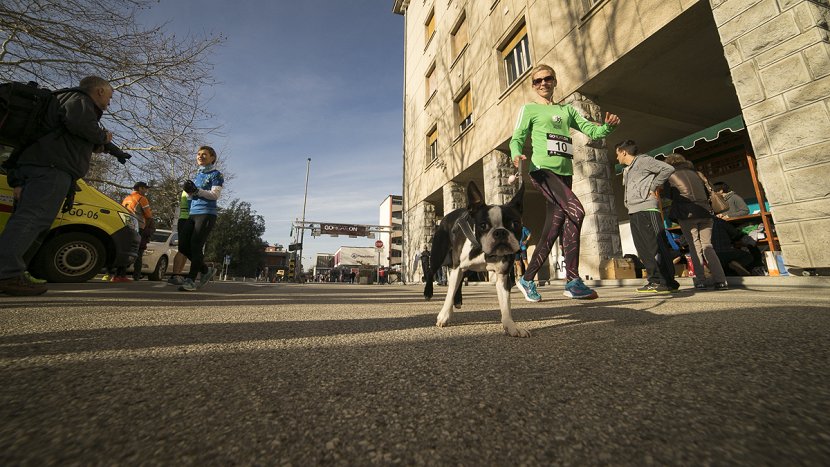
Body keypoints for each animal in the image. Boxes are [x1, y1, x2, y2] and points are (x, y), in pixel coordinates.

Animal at [423, 181, 529, 337]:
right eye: (483, 225)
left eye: (515, 224)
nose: (500, 232)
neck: (483, 251)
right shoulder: (457, 267)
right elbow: (449, 293)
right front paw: (444, 316)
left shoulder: (502, 276)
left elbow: (505, 304)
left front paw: (511, 326)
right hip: (439, 256)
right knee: (431, 272)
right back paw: (428, 293)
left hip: (466, 269)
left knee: (459, 282)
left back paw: (458, 301)